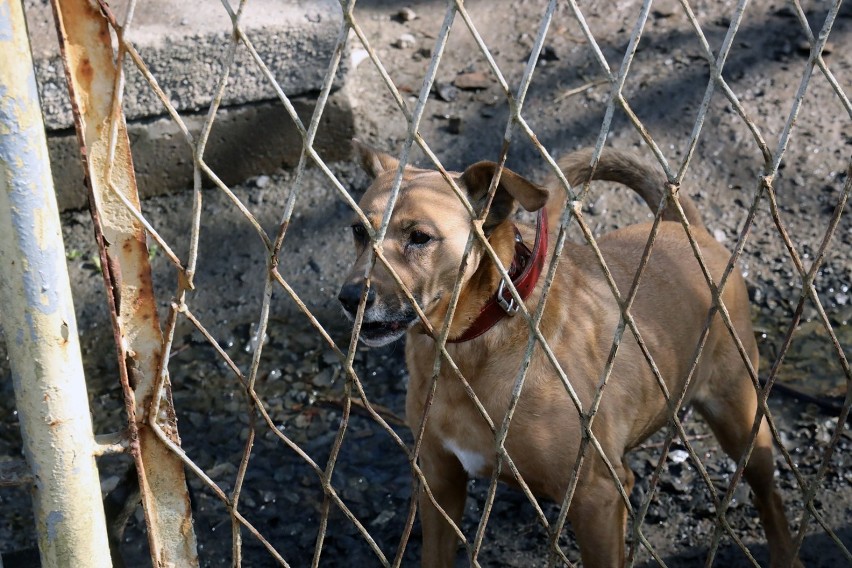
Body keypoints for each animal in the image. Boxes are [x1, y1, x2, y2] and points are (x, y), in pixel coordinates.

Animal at [338, 144, 800, 564]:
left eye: (420, 237)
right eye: (358, 230)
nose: (349, 298)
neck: (471, 348)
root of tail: (688, 230)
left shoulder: (596, 496)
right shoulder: (439, 484)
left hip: (742, 422)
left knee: (770, 497)